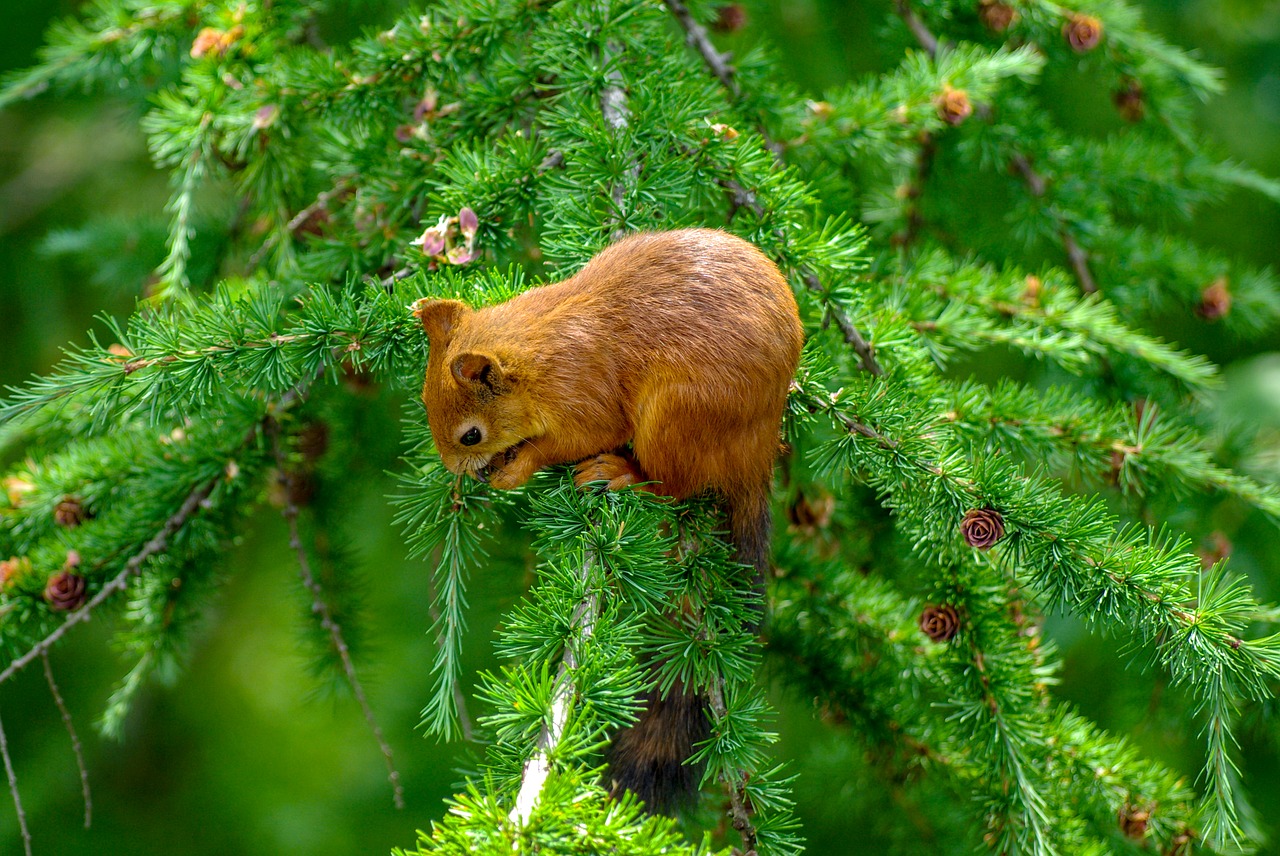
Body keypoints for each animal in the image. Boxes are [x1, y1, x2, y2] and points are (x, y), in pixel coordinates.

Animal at [414, 225, 803, 808]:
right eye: (422, 399)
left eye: (471, 436)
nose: (461, 476)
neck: (538, 351)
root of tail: (754, 454)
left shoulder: (583, 397)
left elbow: (571, 439)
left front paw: (515, 468)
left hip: (675, 418)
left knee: (674, 486)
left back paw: (621, 472)